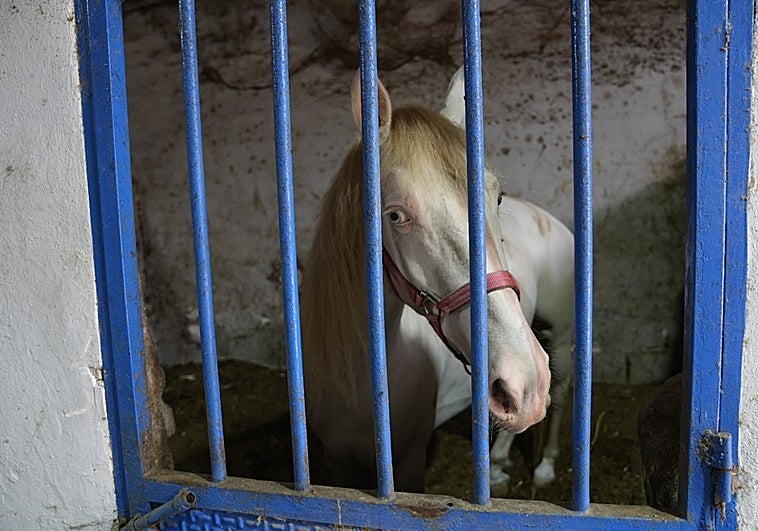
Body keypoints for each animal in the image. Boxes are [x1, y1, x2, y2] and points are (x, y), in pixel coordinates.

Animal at [301, 68, 574, 493]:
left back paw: (544, 466)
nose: (525, 382)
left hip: (560, 339)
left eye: (497, 197)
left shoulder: (411, 463)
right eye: (395, 216)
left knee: (560, 395)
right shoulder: (338, 462)